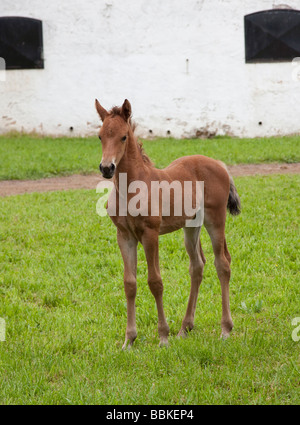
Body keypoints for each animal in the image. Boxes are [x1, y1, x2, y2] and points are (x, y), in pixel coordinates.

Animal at [96, 98, 241, 348]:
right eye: (100, 136)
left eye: (123, 137)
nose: (107, 168)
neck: (131, 187)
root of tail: (220, 164)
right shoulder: (124, 235)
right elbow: (129, 283)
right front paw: (129, 340)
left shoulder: (150, 234)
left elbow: (155, 281)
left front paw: (163, 336)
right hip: (191, 226)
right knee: (197, 266)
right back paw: (185, 328)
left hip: (215, 220)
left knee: (222, 263)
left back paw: (225, 329)